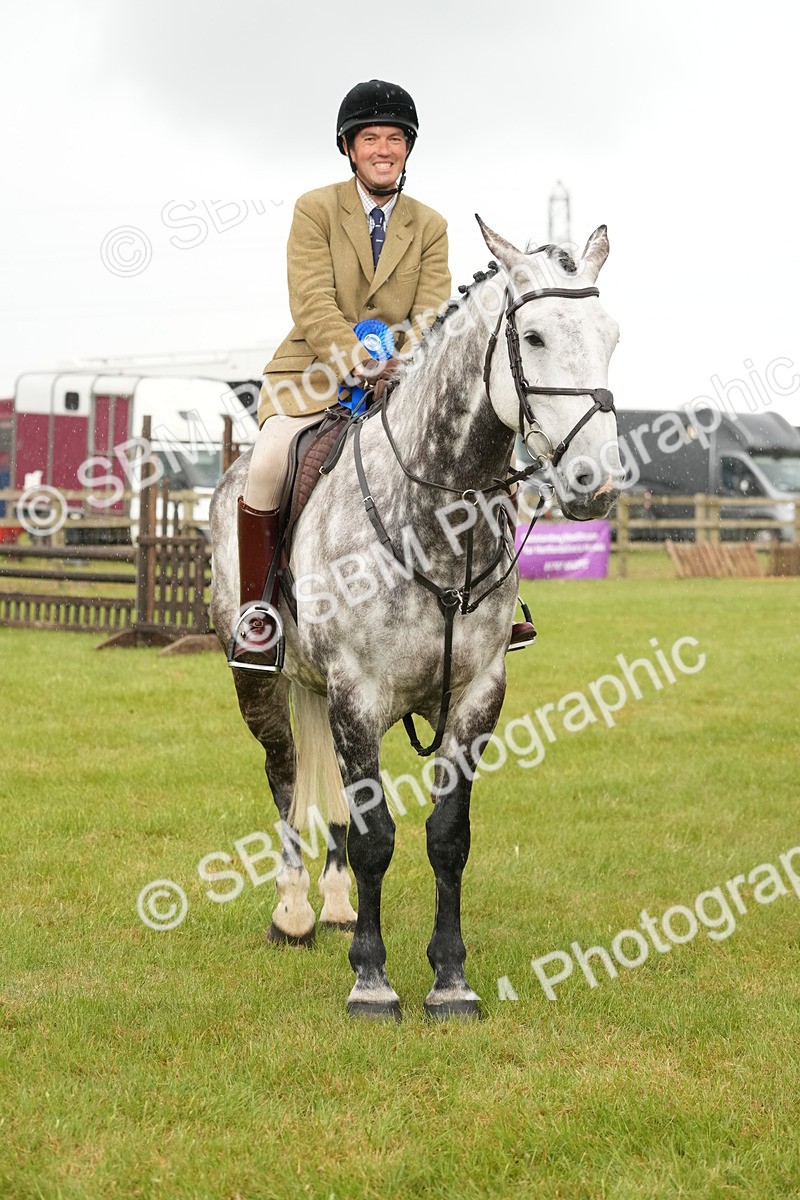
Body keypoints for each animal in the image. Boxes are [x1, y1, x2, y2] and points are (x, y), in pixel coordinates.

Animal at [209, 217, 623, 1020]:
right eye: (533, 337)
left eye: (611, 335)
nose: (597, 483)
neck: (437, 515)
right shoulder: (359, 695)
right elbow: (377, 837)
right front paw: (371, 983)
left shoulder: (475, 696)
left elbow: (446, 836)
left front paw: (451, 979)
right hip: (263, 681)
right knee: (284, 775)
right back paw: (295, 913)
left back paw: (339, 904)